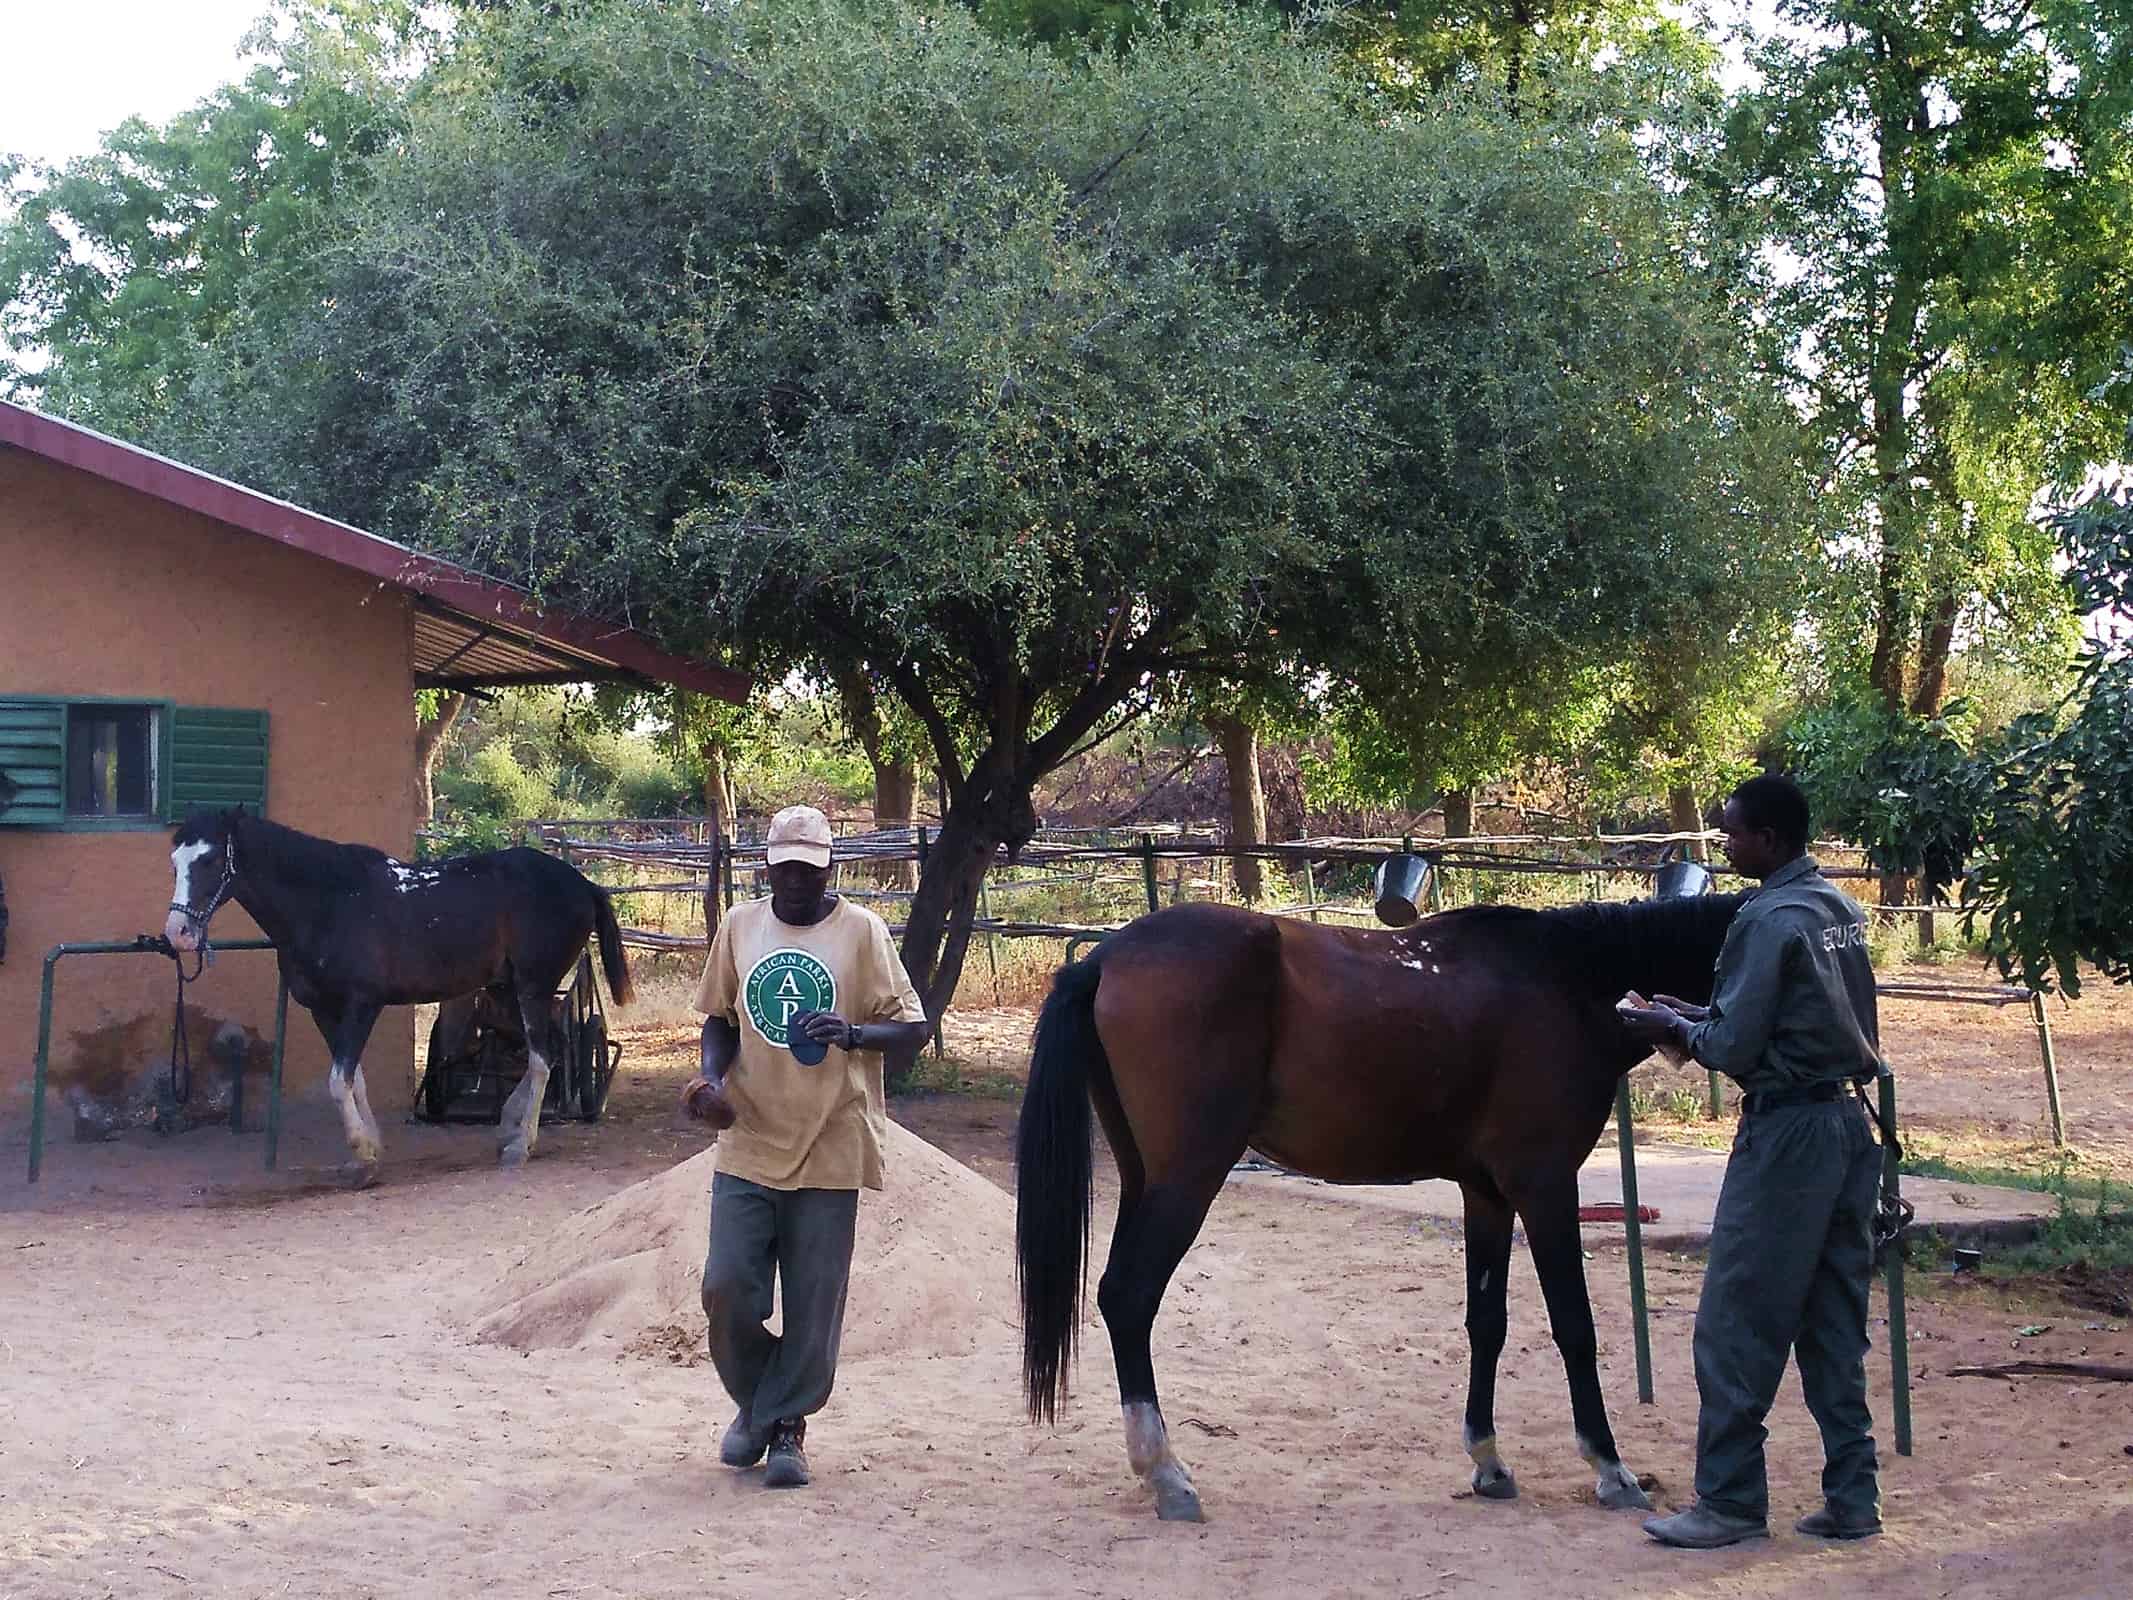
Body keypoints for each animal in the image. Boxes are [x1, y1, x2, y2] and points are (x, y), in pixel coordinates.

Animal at [165, 807, 633, 1179]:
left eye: (209, 859)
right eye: (175, 863)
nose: (178, 933)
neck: (330, 902)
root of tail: (584, 884)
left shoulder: (362, 1004)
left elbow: (338, 1081)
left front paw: (363, 1157)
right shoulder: (325, 1010)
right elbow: (353, 1080)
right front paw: (369, 1150)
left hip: (534, 986)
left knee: (540, 1059)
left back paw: (521, 1146)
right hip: (506, 992)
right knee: (545, 1053)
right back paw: (507, 1126)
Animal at [1015, 891, 1745, 1523]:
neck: (1568, 979)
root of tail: (1102, 958)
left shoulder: (1485, 1193)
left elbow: (1487, 1322)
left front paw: (1489, 1463)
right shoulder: (1543, 1185)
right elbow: (1574, 1326)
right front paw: (1610, 1469)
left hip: (1143, 1176)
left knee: (1116, 1297)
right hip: (1188, 1176)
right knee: (1129, 1297)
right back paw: (1165, 1473)